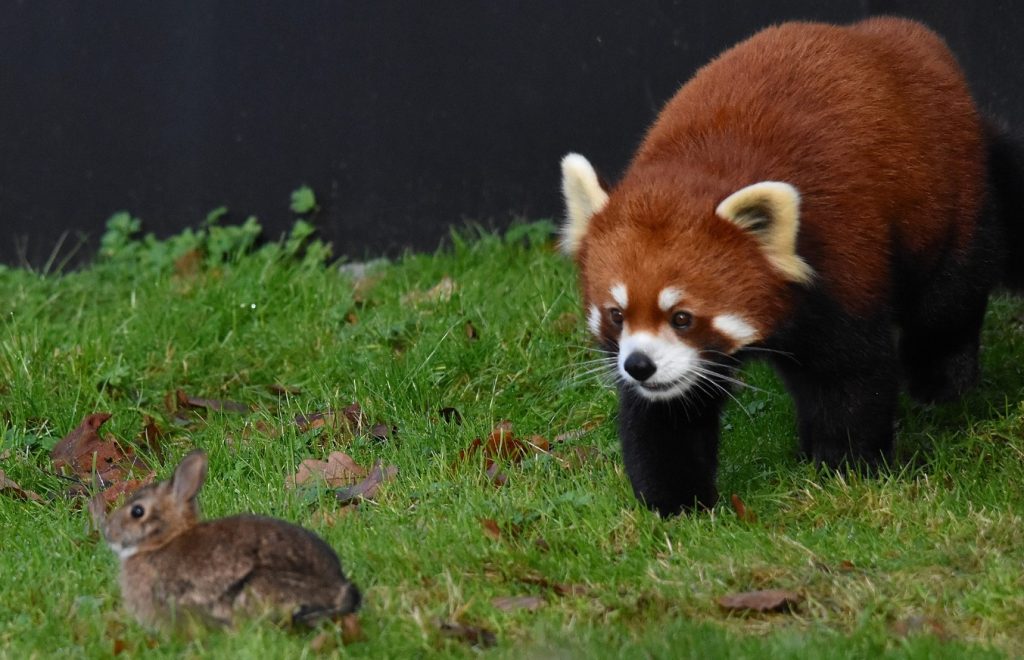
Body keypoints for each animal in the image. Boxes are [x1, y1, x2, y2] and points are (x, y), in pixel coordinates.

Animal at [561, 18, 1024, 515]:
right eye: (617, 314)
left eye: (682, 317)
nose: (639, 366)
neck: (699, 165)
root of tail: (885, 32)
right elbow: (666, 412)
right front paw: (676, 502)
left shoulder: (843, 264)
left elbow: (849, 379)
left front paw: (846, 468)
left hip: (952, 197)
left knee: (949, 300)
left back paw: (941, 387)